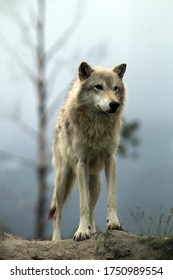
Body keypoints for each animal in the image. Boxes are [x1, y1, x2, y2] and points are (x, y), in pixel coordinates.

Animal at [48, 61, 127, 241]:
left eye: (116, 88)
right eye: (98, 87)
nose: (114, 104)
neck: (97, 126)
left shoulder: (110, 159)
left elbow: (111, 199)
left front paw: (114, 223)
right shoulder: (81, 164)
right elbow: (82, 205)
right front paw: (81, 232)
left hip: (96, 183)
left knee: (92, 207)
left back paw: (93, 231)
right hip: (63, 179)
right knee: (57, 213)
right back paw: (56, 240)